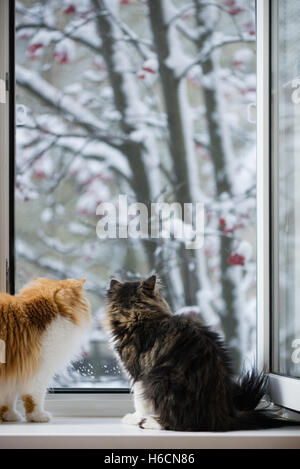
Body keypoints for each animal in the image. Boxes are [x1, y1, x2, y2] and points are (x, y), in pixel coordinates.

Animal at [0, 276, 91, 422]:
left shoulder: (13, 373)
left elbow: (7, 398)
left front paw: (9, 415)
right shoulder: (38, 371)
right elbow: (34, 398)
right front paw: (38, 416)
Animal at [106, 274, 298, 432]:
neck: (136, 315)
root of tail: (221, 415)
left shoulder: (139, 375)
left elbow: (140, 402)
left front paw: (134, 418)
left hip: (159, 380)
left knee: (178, 423)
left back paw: (150, 422)